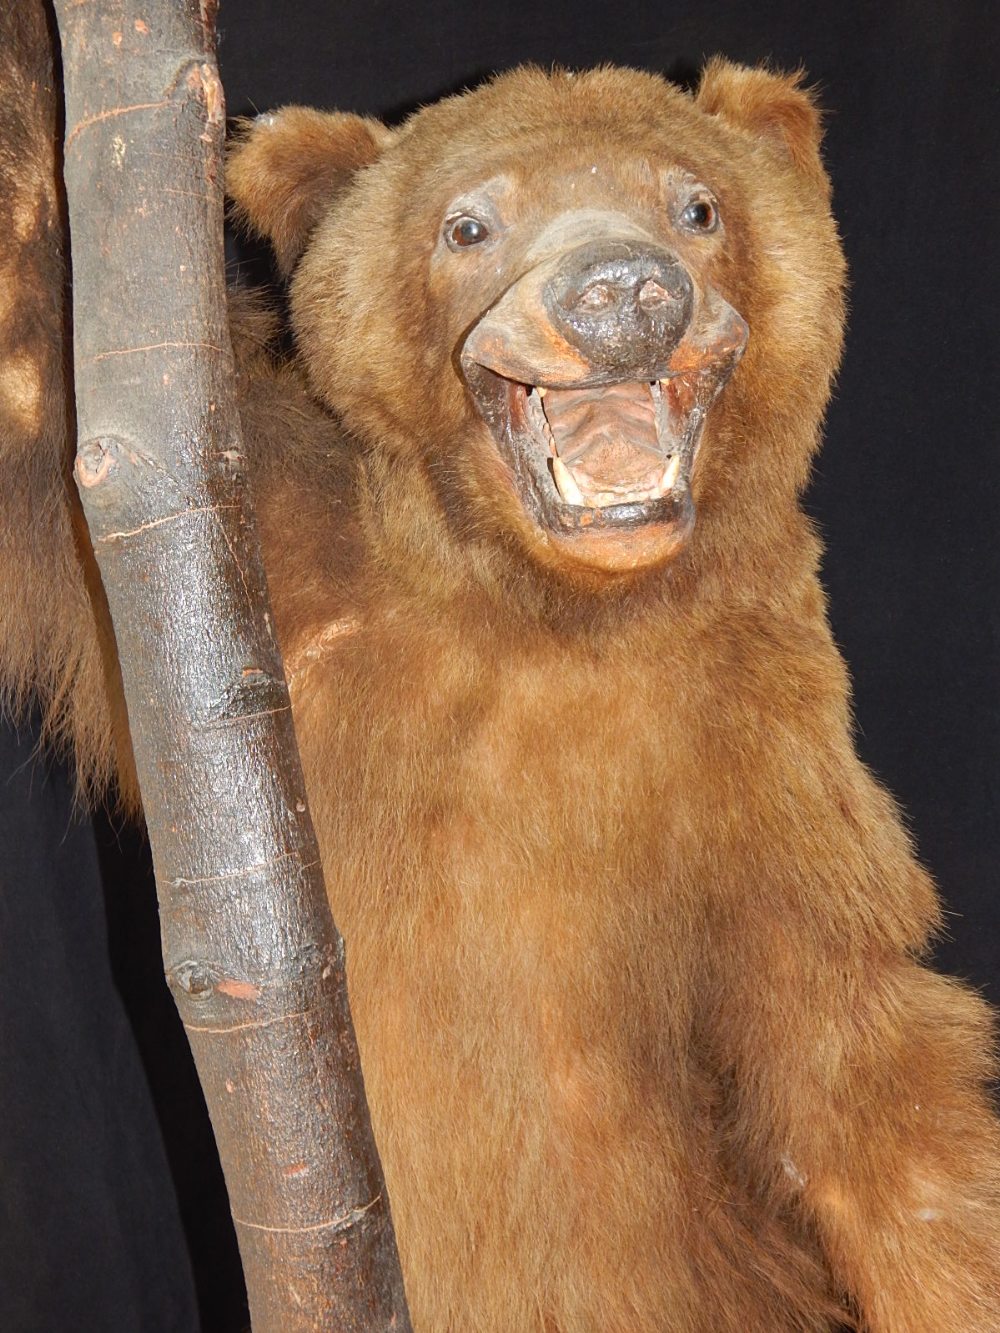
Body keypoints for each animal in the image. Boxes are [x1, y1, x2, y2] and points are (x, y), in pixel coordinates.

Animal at [1, 5, 1000, 1327]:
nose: (621, 289)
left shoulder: (763, 752)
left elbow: (859, 1077)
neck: (550, 614)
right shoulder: (293, 575)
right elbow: (36, 346)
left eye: (695, 204)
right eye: (468, 223)